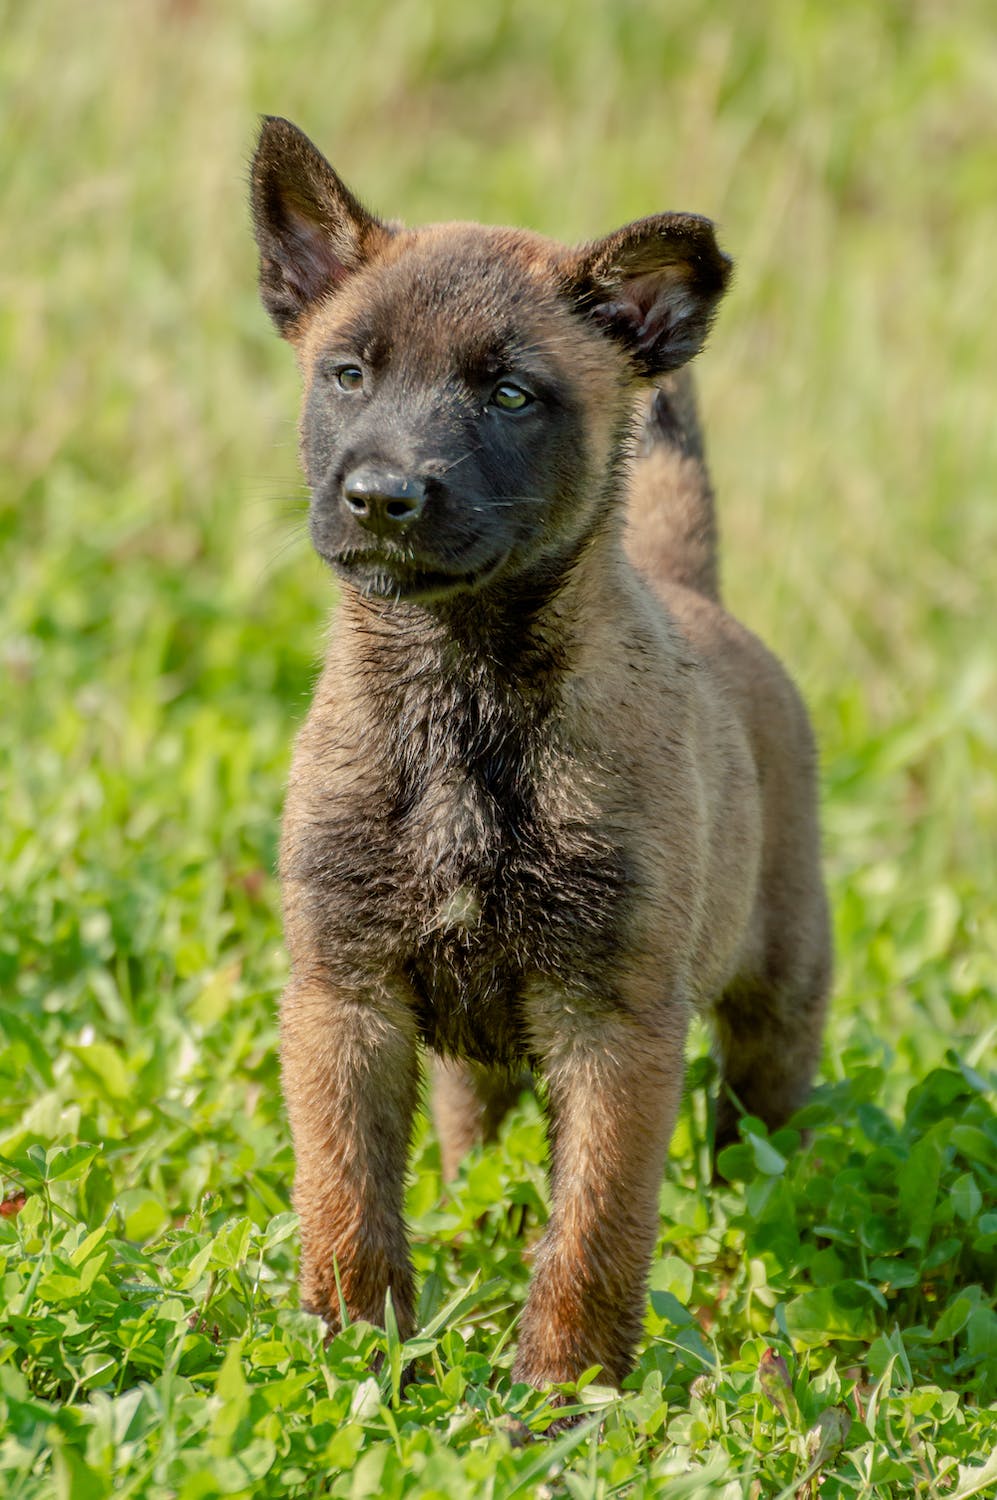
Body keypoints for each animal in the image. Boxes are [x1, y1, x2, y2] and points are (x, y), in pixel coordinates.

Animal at [250, 120, 833, 1392]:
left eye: (512, 395)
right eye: (348, 374)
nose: (381, 497)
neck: (460, 699)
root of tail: (692, 591)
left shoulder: (614, 1028)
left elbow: (595, 1232)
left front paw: (564, 1394)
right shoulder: (343, 998)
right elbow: (347, 1202)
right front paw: (357, 1363)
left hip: (779, 994)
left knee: (761, 1130)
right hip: (470, 1054)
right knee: (468, 1137)